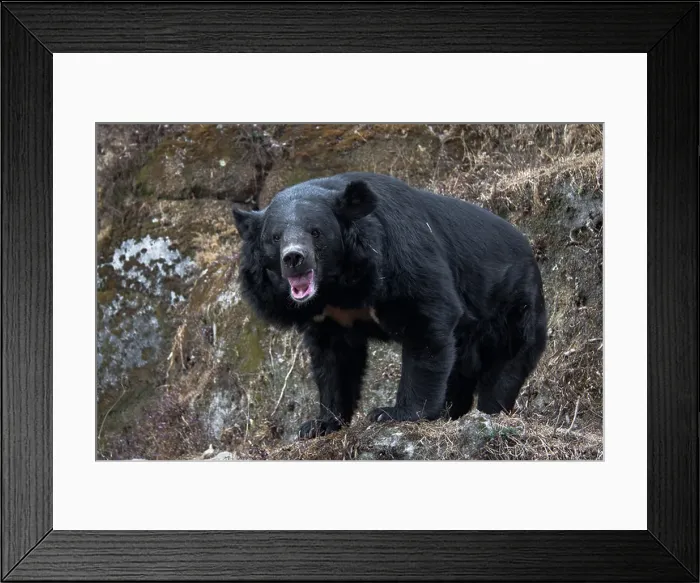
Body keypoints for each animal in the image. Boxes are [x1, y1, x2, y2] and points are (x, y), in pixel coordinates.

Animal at [233, 172, 547, 439]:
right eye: (275, 237)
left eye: (315, 232)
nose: (294, 258)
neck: (336, 287)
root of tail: (530, 251)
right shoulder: (329, 317)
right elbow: (334, 362)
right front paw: (319, 424)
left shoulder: (400, 259)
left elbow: (428, 320)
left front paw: (394, 413)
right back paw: (449, 411)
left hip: (512, 308)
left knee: (504, 367)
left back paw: (488, 411)